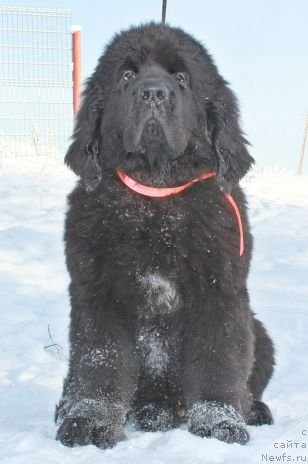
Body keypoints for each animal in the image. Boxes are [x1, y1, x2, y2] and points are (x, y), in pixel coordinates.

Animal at [55, 22, 274, 450]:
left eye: (181, 78)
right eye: (127, 76)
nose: (154, 92)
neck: (156, 197)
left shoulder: (219, 295)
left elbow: (218, 362)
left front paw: (220, 423)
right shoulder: (99, 296)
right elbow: (101, 363)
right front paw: (89, 422)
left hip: (261, 333)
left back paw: (248, 410)